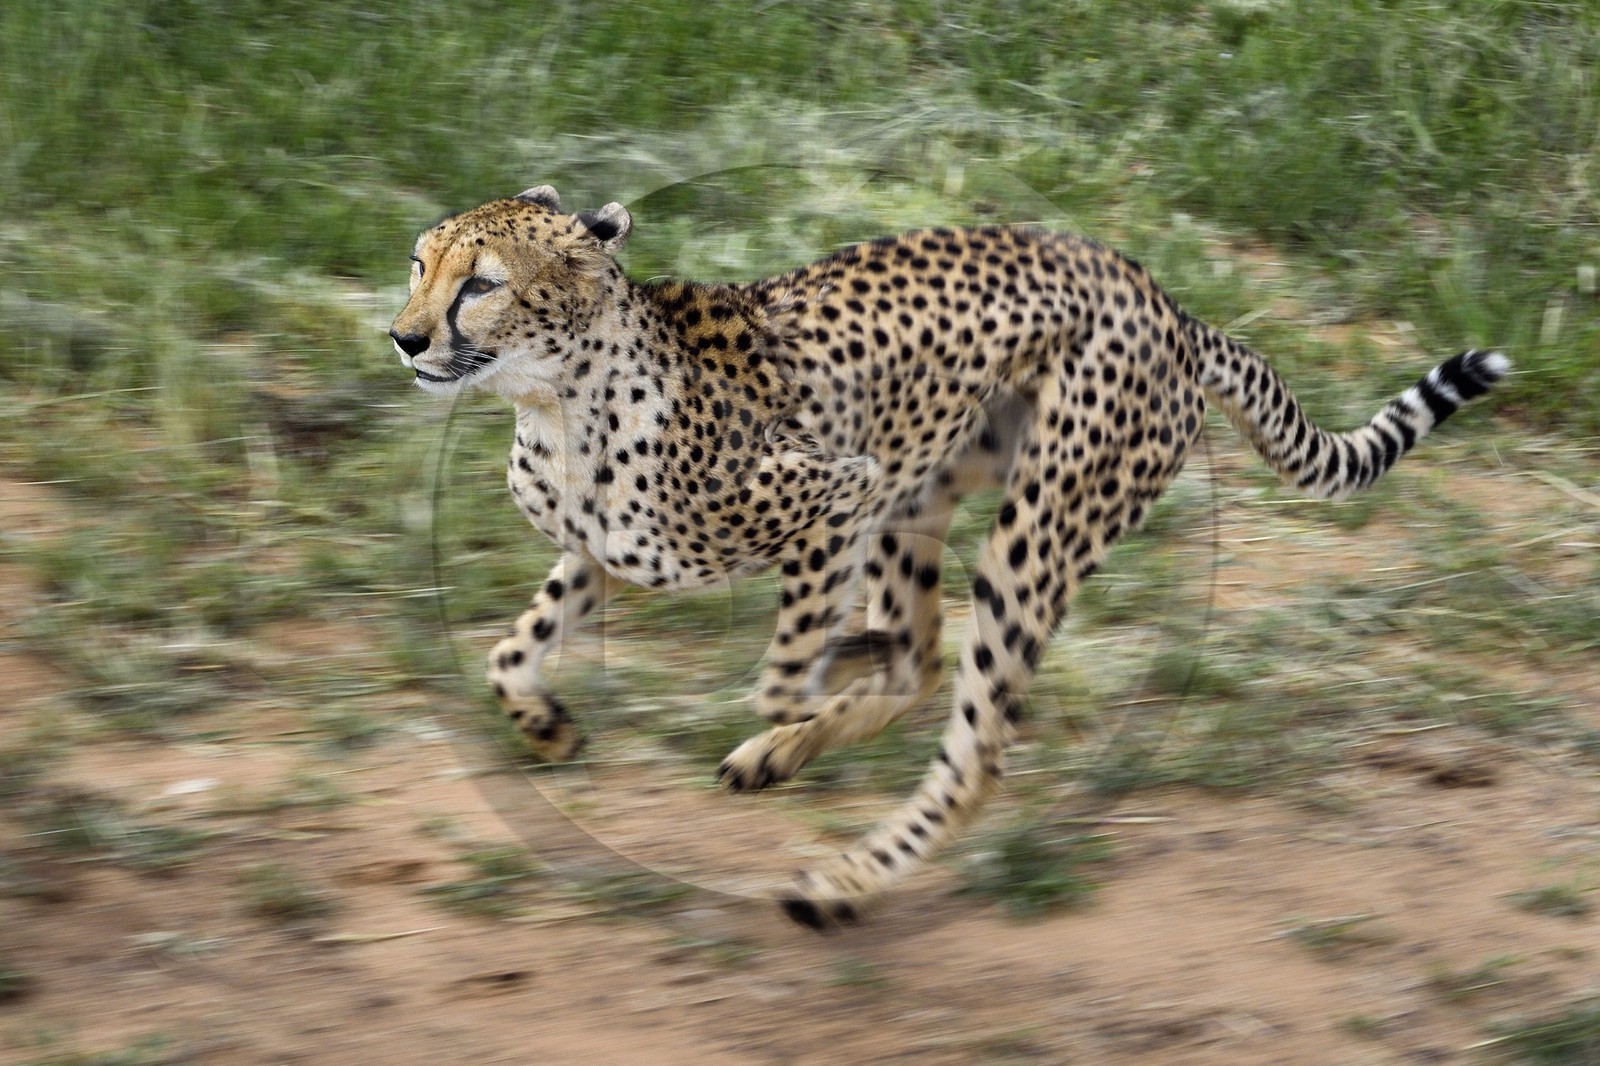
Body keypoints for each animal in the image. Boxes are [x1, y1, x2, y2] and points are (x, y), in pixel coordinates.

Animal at [389, 185, 1509, 929]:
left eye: (480, 284)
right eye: (417, 263)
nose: (404, 338)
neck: (555, 400)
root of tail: (1169, 303)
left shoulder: (837, 494)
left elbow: (783, 672)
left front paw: (811, 686)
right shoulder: (612, 550)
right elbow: (510, 652)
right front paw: (545, 723)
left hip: (1028, 528)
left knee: (971, 743)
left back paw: (841, 876)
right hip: (921, 488)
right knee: (927, 662)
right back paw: (789, 764)